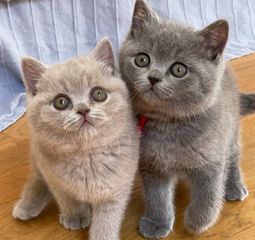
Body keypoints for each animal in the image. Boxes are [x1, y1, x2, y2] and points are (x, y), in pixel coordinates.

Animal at [12, 38, 139, 240]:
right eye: (61, 102)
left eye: (98, 94)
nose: (83, 109)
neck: (86, 156)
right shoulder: (57, 182)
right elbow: (67, 200)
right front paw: (75, 217)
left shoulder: (116, 186)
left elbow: (107, 219)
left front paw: (103, 235)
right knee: (38, 178)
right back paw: (26, 206)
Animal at [120, 0, 255, 238]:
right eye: (142, 59)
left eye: (179, 69)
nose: (153, 77)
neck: (167, 127)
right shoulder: (151, 165)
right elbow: (157, 196)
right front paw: (157, 221)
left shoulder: (210, 162)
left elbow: (208, 196)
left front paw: (196, 222)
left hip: (231, 131)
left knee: (233, 156)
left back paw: (234, 185)